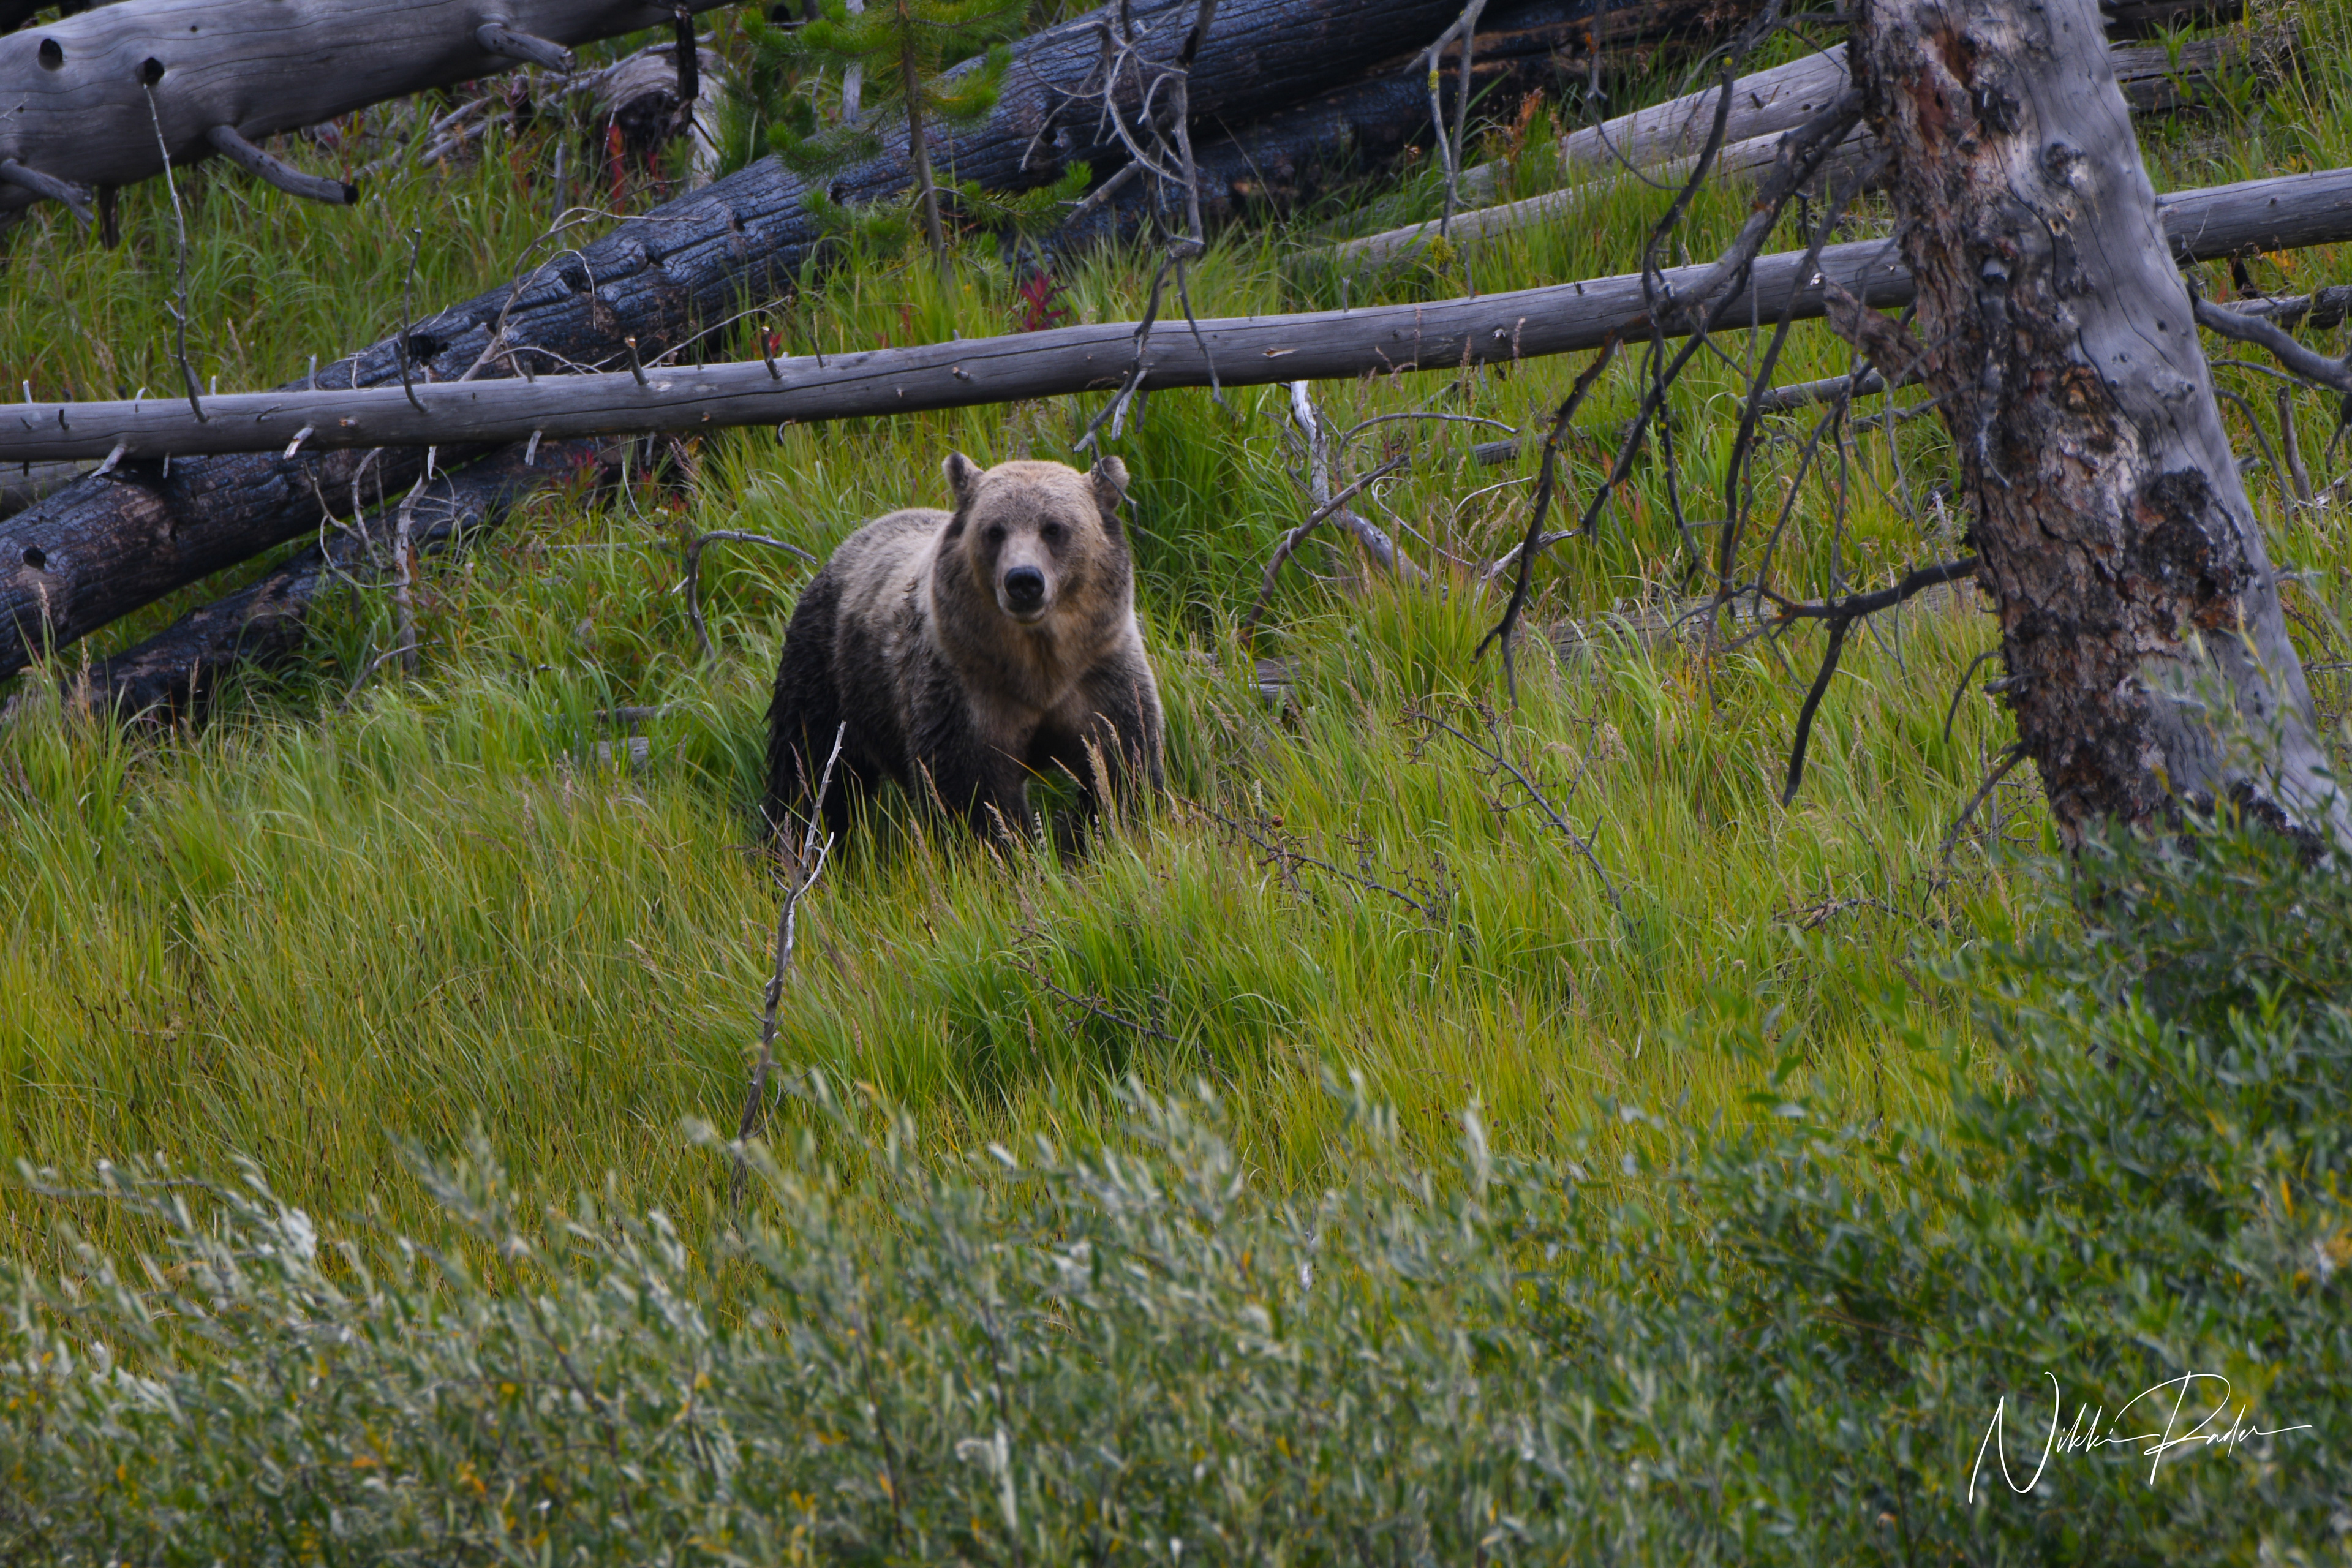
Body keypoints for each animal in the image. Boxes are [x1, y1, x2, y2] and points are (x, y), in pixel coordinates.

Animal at [765, 452, 1166, 844]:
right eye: (995, 531)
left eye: (1054, 528)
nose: (1024, 580)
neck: (1039, 668)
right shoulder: (965, 691)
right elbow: (971, 792)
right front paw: (1005, 845)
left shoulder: (1099, 676)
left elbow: (1122, 762)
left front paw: (1111, 829)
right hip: (828, 672)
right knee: (810, 767)